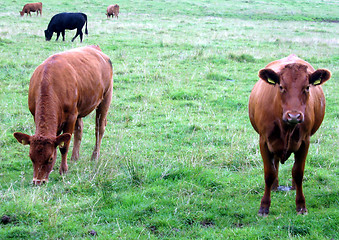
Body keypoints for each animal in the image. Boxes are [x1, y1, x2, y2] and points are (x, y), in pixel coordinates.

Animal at [13, 45, 114, 186]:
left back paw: (95, 156)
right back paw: (74, 157)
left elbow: (64, 146)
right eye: (31, 157)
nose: (38, 181)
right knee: (79, 130)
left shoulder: (71, 117)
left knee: (99, 128)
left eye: (50, 158)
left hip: (106, 97)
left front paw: (63, 170)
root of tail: (95, 48)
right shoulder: (37, 115)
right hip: (80, 108)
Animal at [250, 54, 332, 216]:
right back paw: (275, 186)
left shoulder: (305, 142)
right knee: (275, 163)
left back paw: (292, 186)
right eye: (281, 87)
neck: (286, 128)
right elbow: (269, 173)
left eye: (307, 87)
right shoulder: (264, 141)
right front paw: (264, 206)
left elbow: (298, 172)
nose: (294, 116)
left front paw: (301, 205)